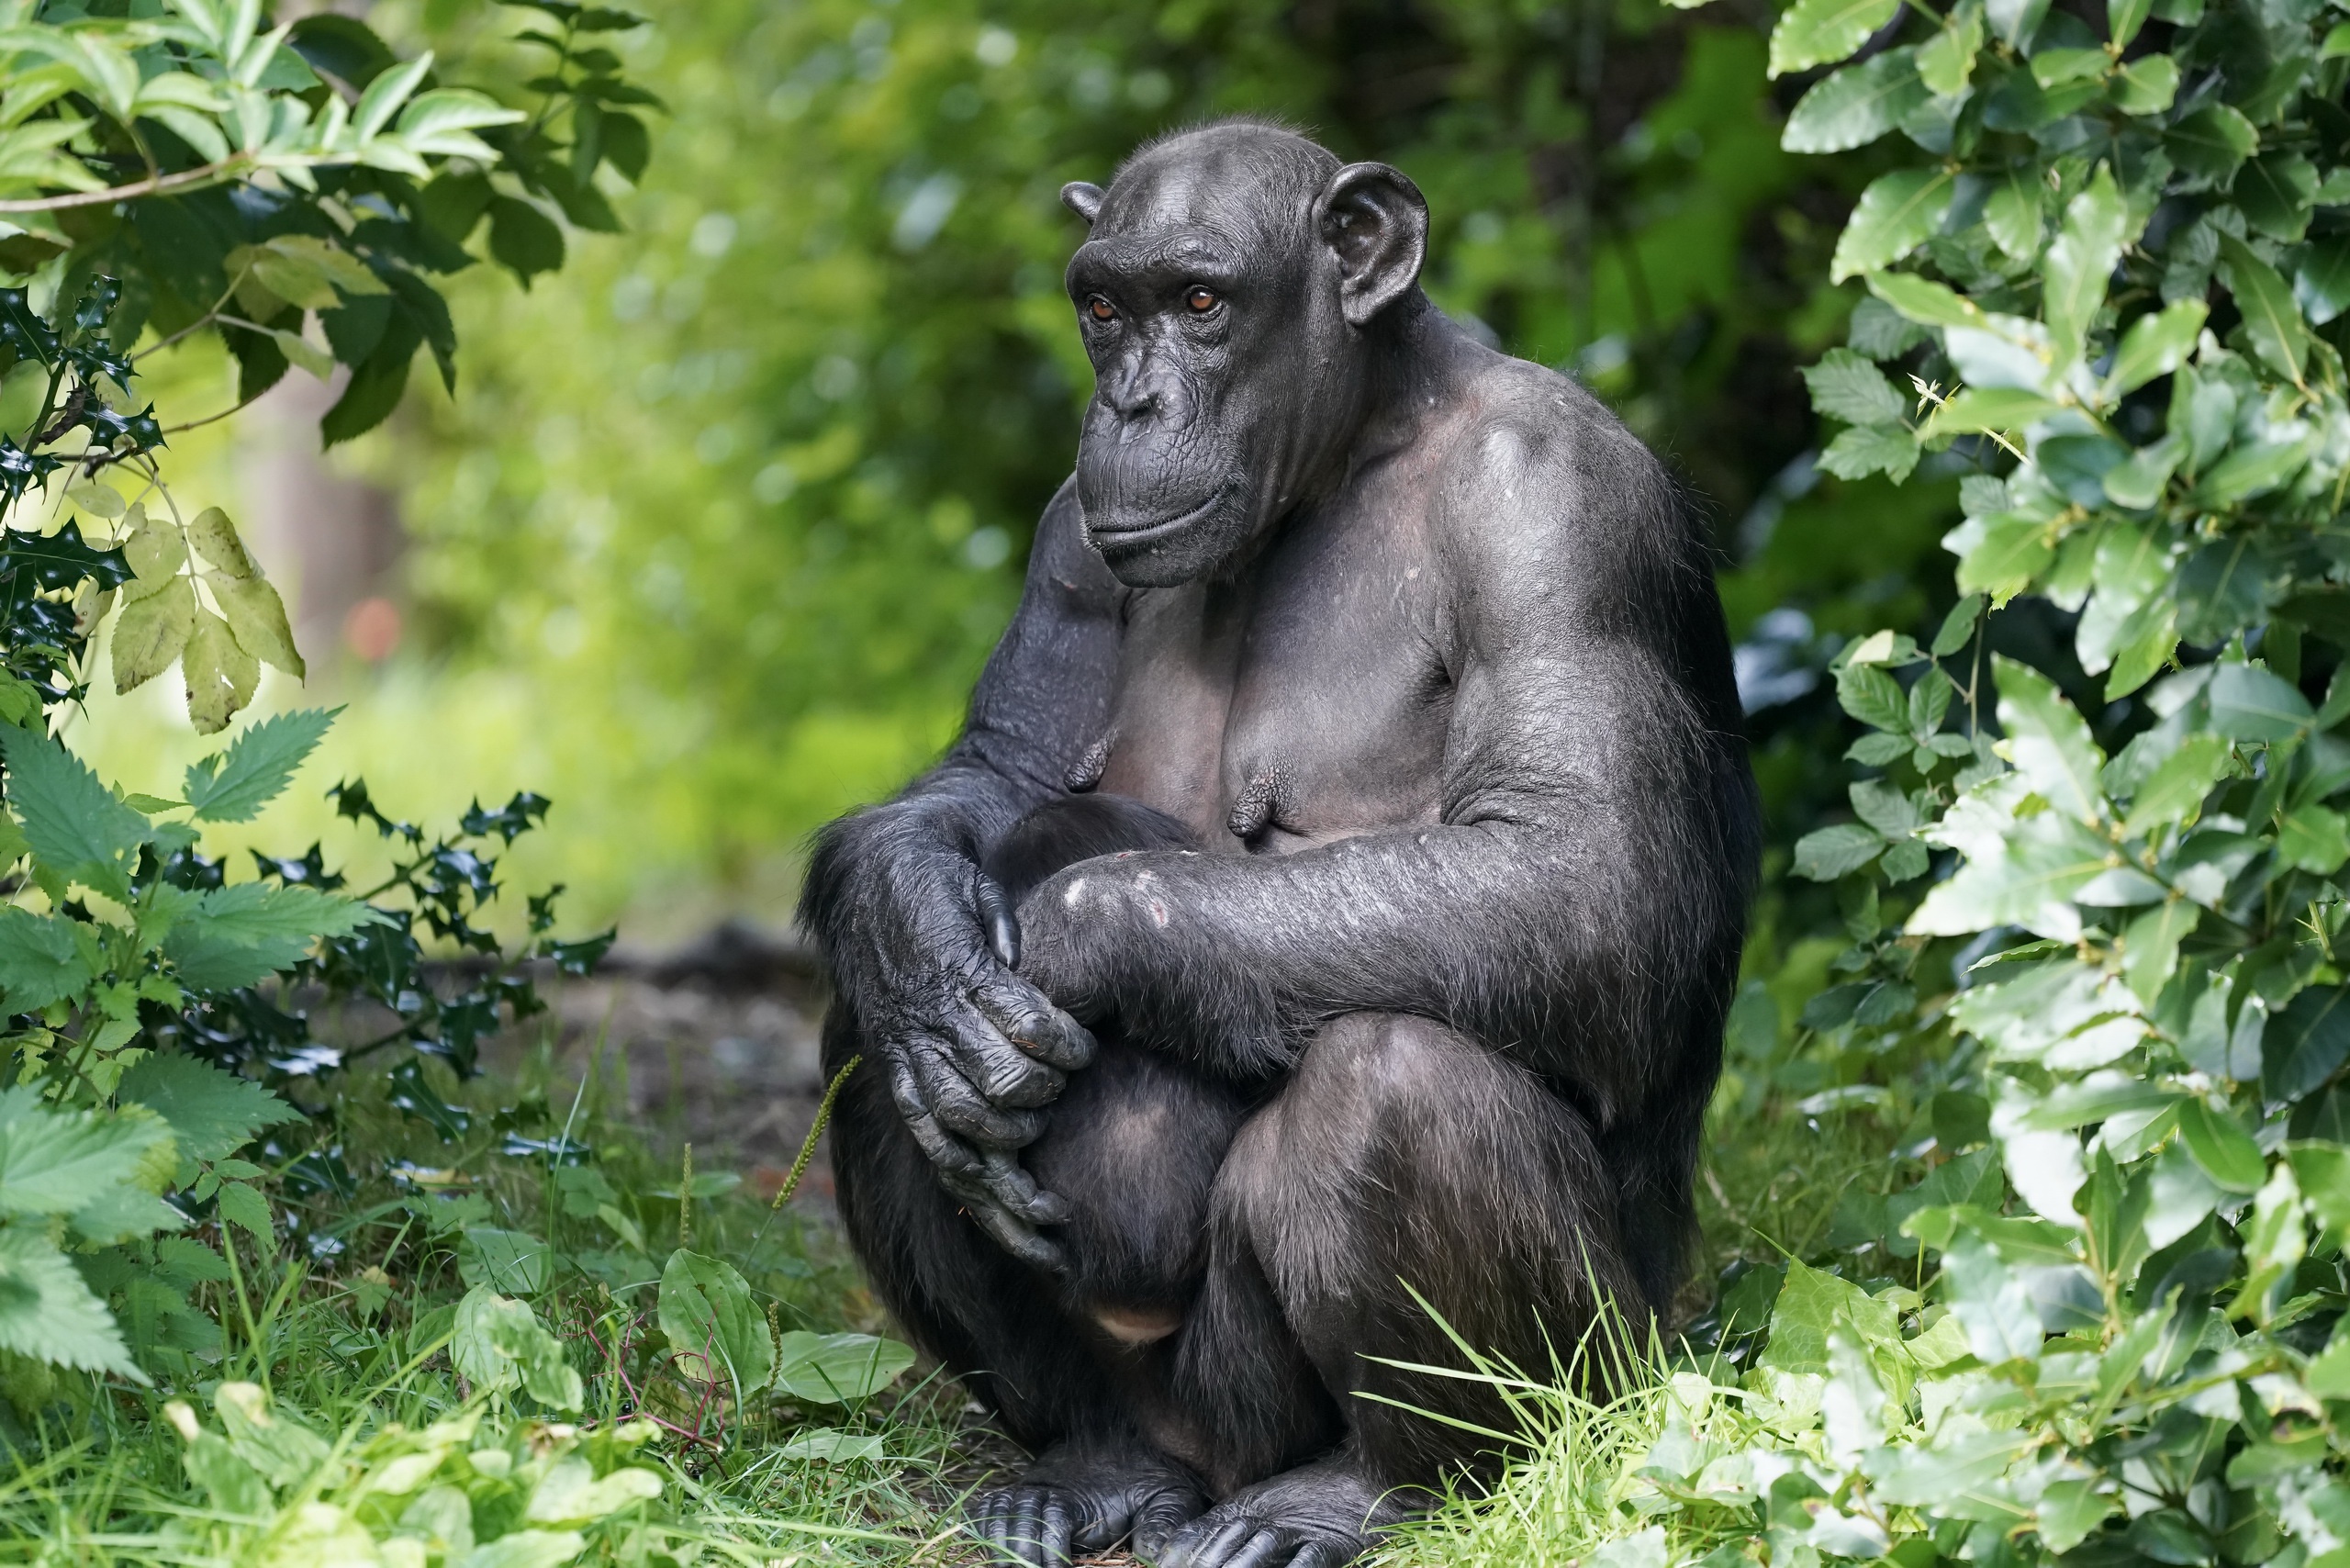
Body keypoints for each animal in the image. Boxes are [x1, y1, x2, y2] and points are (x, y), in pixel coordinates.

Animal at [799, 116, 1757, 1561]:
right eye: (1103, 308)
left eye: (1201, 302)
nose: (1132, 404)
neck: (1356, 443)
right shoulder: (1068, 532)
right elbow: (995, 772)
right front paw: (924, 947)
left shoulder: (1558, 510)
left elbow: (1581, 873)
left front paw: (1073, 941)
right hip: (1166, 1407)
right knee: (871, 1059)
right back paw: (1088, 1466)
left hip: (1597, 1383)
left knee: (1393, 1086)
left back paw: (1359, 1495)